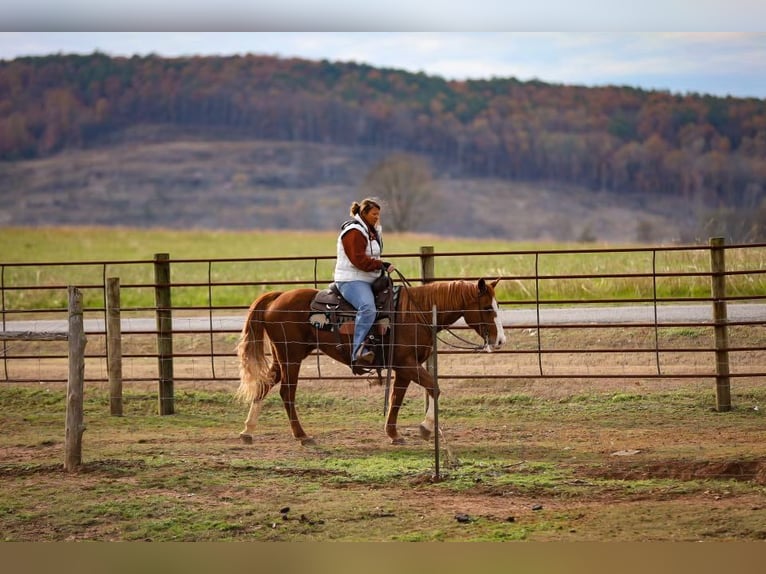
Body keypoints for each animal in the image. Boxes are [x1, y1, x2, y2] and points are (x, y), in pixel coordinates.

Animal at [235, 278, 506, 445]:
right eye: (486, 307)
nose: (500, 340)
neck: (416, 313)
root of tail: (278, 296)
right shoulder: (407, 364)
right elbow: (434, 388)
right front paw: (426, 428)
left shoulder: (404, 368)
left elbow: (396, 399)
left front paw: (393, 434)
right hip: (291, 358)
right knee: (287, 393)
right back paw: (302, 436)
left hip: (283, 357)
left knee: (264, 384)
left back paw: (248, 431)